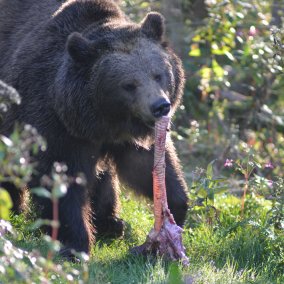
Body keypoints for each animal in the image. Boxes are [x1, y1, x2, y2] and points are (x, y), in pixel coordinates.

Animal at [0, 0, 189, 258]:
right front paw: (74, 244)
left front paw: (174, 211)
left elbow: (146, 167)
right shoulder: (55, 125)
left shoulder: (128, 138)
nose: (160, 106)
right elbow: (62, 182)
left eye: (158, 75)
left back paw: (112, 223)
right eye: (129, 84)